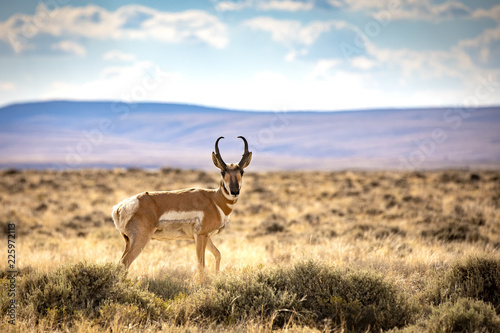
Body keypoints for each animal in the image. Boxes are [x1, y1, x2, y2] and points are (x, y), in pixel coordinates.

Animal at [112, 136, 250, 276]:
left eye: (242, 171)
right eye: (222, 172)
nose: (234, 191)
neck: (215, 199)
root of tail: (119, 207)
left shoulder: (206, 237)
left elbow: (218, 254)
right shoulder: (201, 236)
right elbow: (201, 265)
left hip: (128, 242)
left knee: (120, 264)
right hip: (141, 239)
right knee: (124, 263)